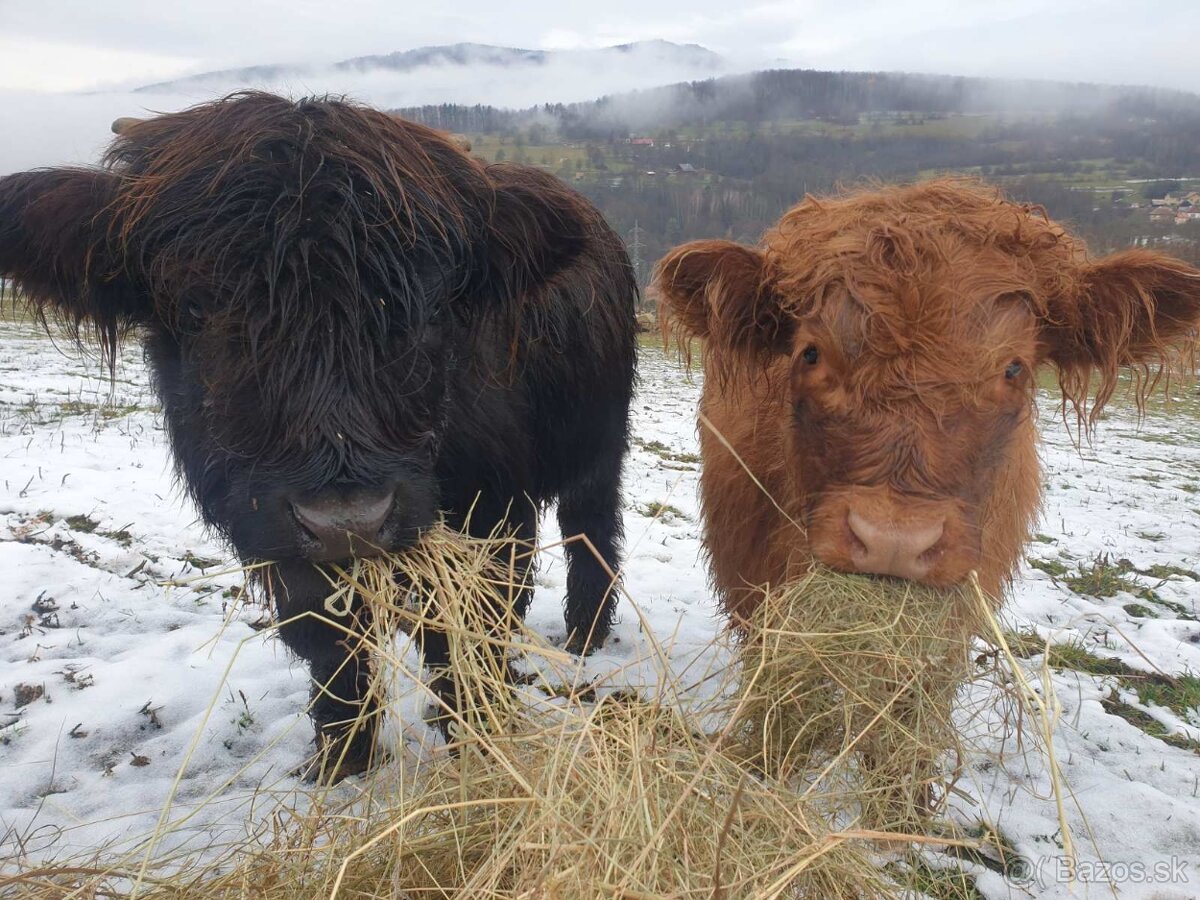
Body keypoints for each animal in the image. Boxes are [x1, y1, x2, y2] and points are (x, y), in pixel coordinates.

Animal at [0, 93, 638, 782]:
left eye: (432, 310)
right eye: (197, 310)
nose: (346, 524)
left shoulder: (493, 515)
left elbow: (464, 633)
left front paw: (477, 738)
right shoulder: (280, 551)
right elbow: (332, 649)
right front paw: (342, 762)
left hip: (600, 453)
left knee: (591, 533)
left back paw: (585, 635)